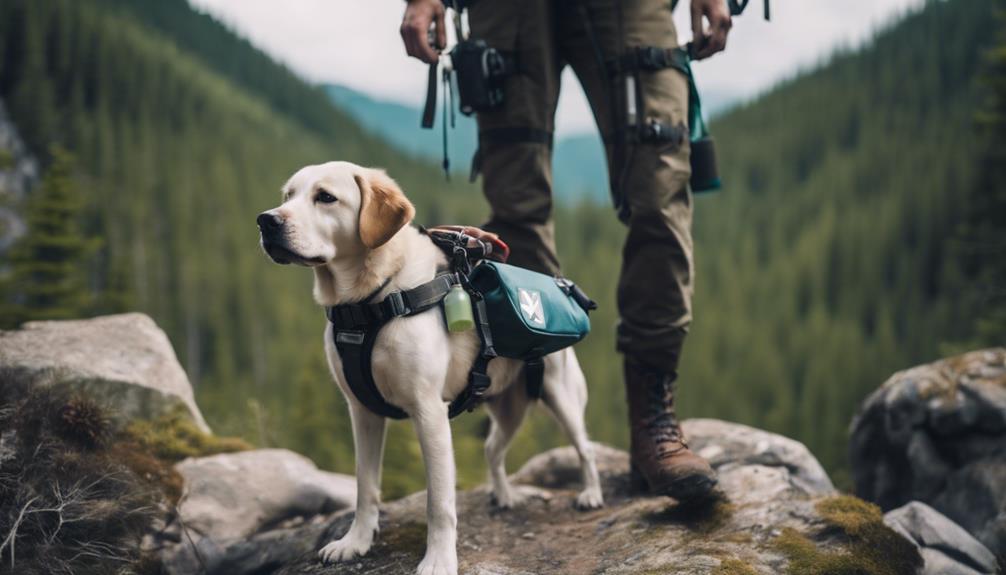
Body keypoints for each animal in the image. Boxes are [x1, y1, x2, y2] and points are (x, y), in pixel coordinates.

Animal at [259, 161, 603, 575]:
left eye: (325, 197)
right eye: (287, 195)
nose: (266, 221)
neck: (371, 299)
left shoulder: (429, 413)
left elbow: (439, 502)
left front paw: (439, 559)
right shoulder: (362, 412)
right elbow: (365, 486)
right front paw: (356, 542)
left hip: (562, 398)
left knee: (585, 449)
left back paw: (591, 493)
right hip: (508, 409)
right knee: (493, 449)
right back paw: (504, 495)